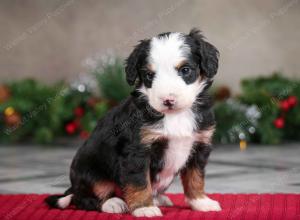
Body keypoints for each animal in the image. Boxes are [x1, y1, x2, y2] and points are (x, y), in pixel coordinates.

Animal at [45, 28, 221, 217]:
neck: (175, 116)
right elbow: (139, 181)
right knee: (83, 198)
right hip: (90, 173)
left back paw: (158, 198)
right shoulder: (137, 151)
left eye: (185, 70)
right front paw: (144, 208)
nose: (168, 100)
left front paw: (201, 202)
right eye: (149, 75)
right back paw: (113, 203)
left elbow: (195, 177)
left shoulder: (199, 145)